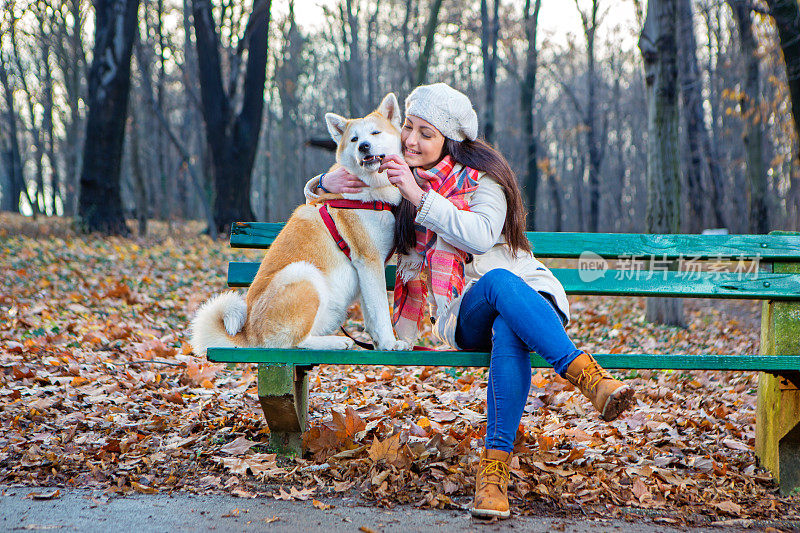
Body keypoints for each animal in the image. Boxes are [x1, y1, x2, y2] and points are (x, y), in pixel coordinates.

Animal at [191, 93, 410, 356]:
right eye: (354, 139)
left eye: (375, 133)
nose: (364, 146)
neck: (369, 191)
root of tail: (248, 336)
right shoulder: (369, 261)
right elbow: (381, 312)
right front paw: (389, 343)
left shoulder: (370, 267)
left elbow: (372, 313)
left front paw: (379, 344)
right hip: (304, 273)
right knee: (295, 342)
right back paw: (335, 342)